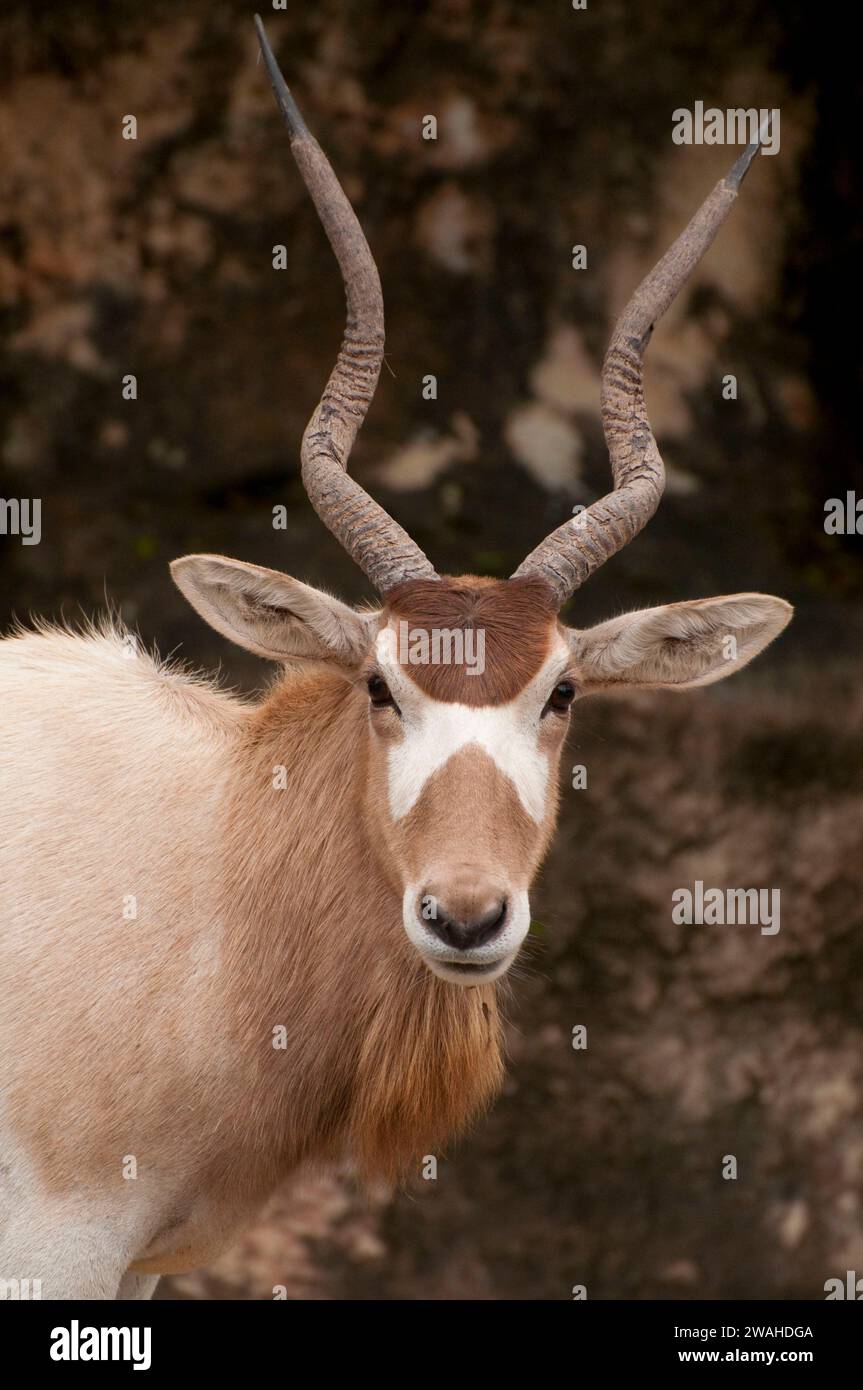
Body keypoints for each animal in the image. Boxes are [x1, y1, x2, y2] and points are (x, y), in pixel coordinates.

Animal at [0, 17, 791, 1301]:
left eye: (561, 691)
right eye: (381, 683)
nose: (464, 919)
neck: (215, 856)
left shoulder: (139, 1265)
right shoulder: (56, 1244)